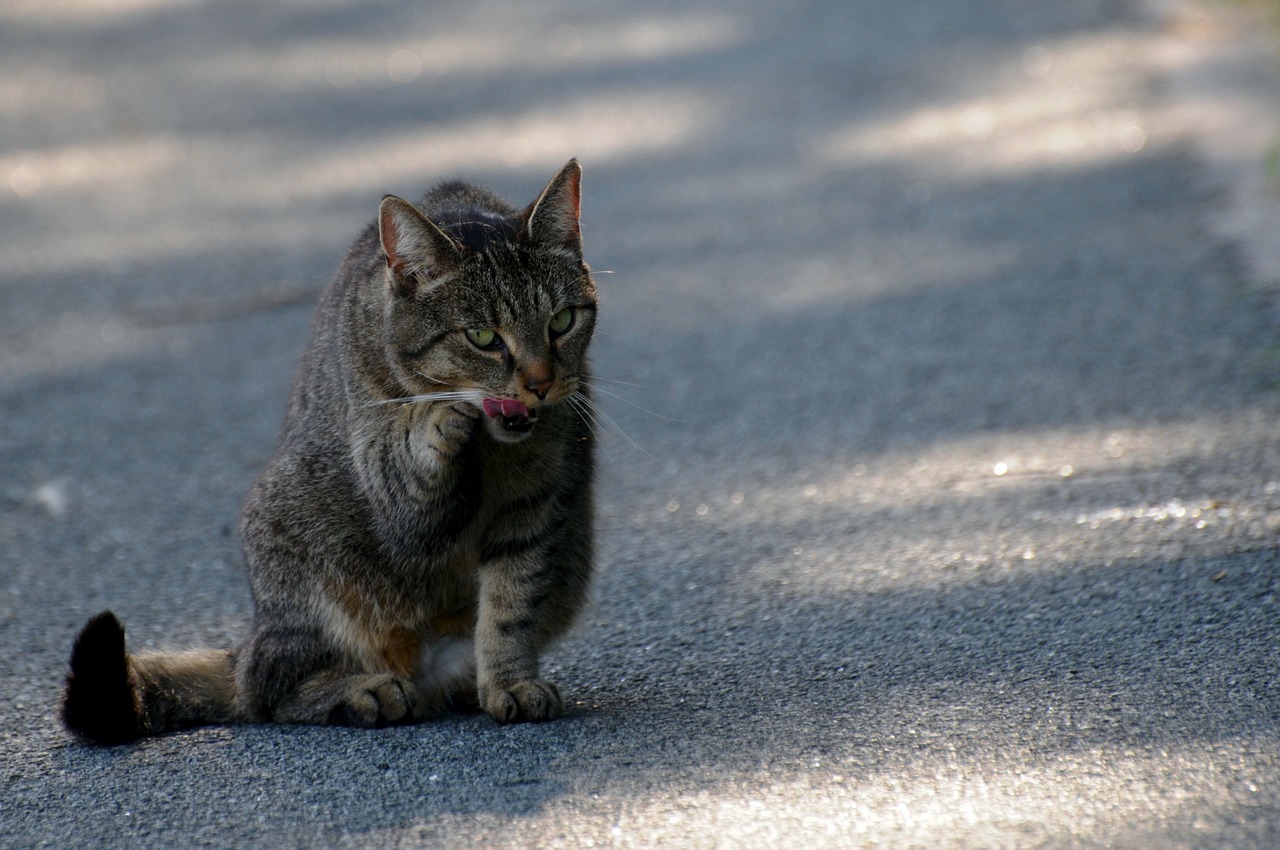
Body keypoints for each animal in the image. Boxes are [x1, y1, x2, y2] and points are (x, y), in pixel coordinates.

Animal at [60, 159, 599, 742]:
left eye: (562, 321)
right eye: (481, 336)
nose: (540, 383)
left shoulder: (538, 508)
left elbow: (511, 606)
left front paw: (510, 683)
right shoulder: (400, 502)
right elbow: (411, 458)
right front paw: (439, 414)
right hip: (289, 540)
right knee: (266, 690)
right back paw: (364, 690)